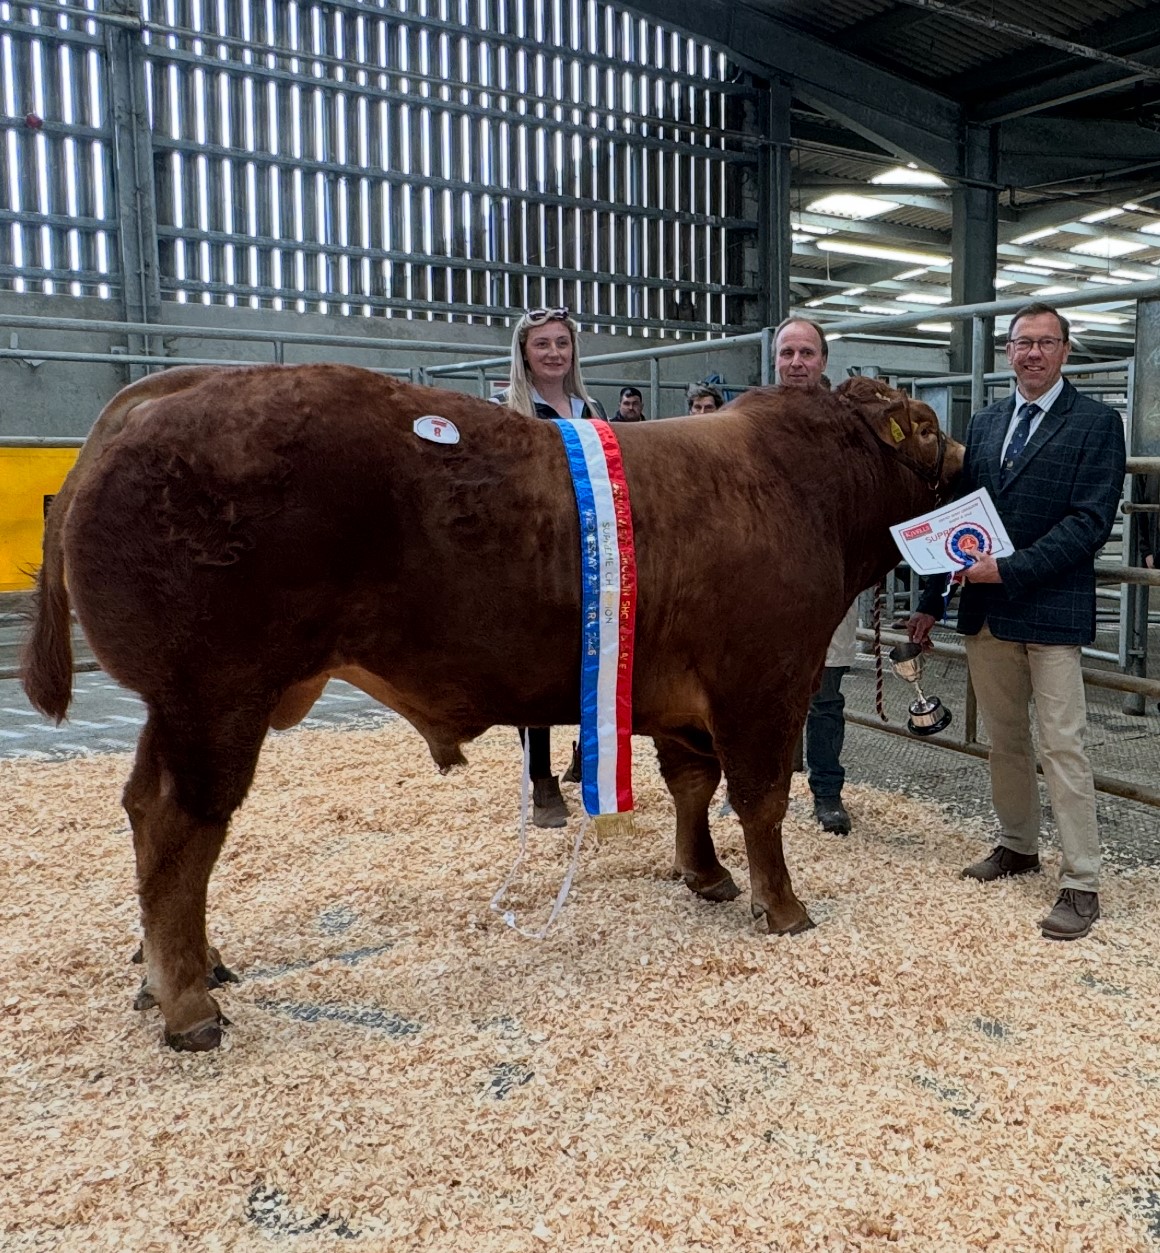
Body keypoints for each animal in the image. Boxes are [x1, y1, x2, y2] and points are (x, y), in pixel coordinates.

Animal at [22, 365, 962, 1051]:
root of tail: (164, 391)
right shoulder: (763, 681)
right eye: (922, 421)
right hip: (215, 696)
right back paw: (189, 1004)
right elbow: (761, 800)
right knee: (180, 825)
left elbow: (692, 788)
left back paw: (180, 972)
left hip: (181, 705)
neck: (797, 483)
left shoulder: (681, 697)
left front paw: (705, 876)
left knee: (149, 816)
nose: (963, 455)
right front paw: (785, 908)